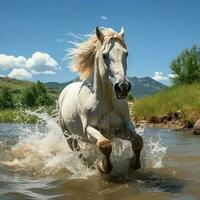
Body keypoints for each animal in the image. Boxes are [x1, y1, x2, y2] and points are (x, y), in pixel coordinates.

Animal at [58, 27, 143, 173]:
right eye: (104, 55)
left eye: (126, 54)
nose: (123, 87)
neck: (108, 103)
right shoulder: (89, 129)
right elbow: (104, 145)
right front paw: (102, 166)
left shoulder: (121, 128)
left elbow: (138, 141)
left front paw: (133, 164)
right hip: (69, 136)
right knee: (78, 152)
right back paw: (88, 165)